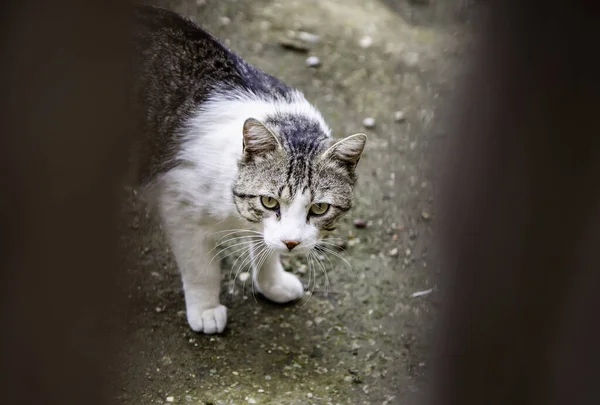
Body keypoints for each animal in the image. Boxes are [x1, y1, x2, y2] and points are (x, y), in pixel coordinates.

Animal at [131, 6, 366, 332]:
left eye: (319, 208)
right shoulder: (178, 205)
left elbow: (265, 245)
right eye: (269, 201)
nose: (292, 243)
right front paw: (205, 309)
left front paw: (273, 282)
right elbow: (201, 268)